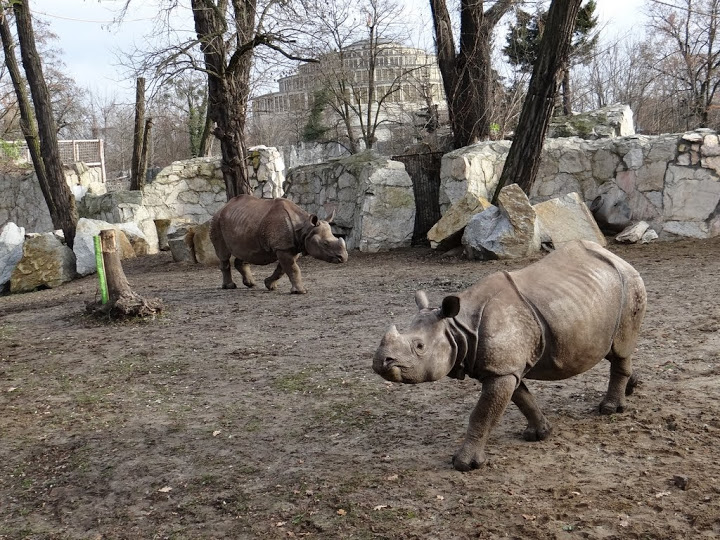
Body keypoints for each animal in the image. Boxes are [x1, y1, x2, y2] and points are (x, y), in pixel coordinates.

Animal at [209, 195, 348, 293]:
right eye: (325, 244)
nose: (344, 257)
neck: (305, 228)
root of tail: (223, 207)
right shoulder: (283, 247)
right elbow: (292, 268)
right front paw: (301, 291)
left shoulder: (292, 246)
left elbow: (283, 269)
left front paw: (269, 285)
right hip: (216, 222)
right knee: (223, 254)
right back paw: (229, 286)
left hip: (242, 222)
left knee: (244, 252)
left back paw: (251, 284)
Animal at [373, 240, 646, 472]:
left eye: (419, 346)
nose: (380, 362)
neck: (457, 327)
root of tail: (618, 259)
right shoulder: (504, 367)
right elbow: (522, 398)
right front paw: (539, 434)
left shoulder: (501, 369)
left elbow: (482, 415)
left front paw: (464, 464)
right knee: (613, 349)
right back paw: (632, 387)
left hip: (630, 284)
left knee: (620, 347)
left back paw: (609, 410)